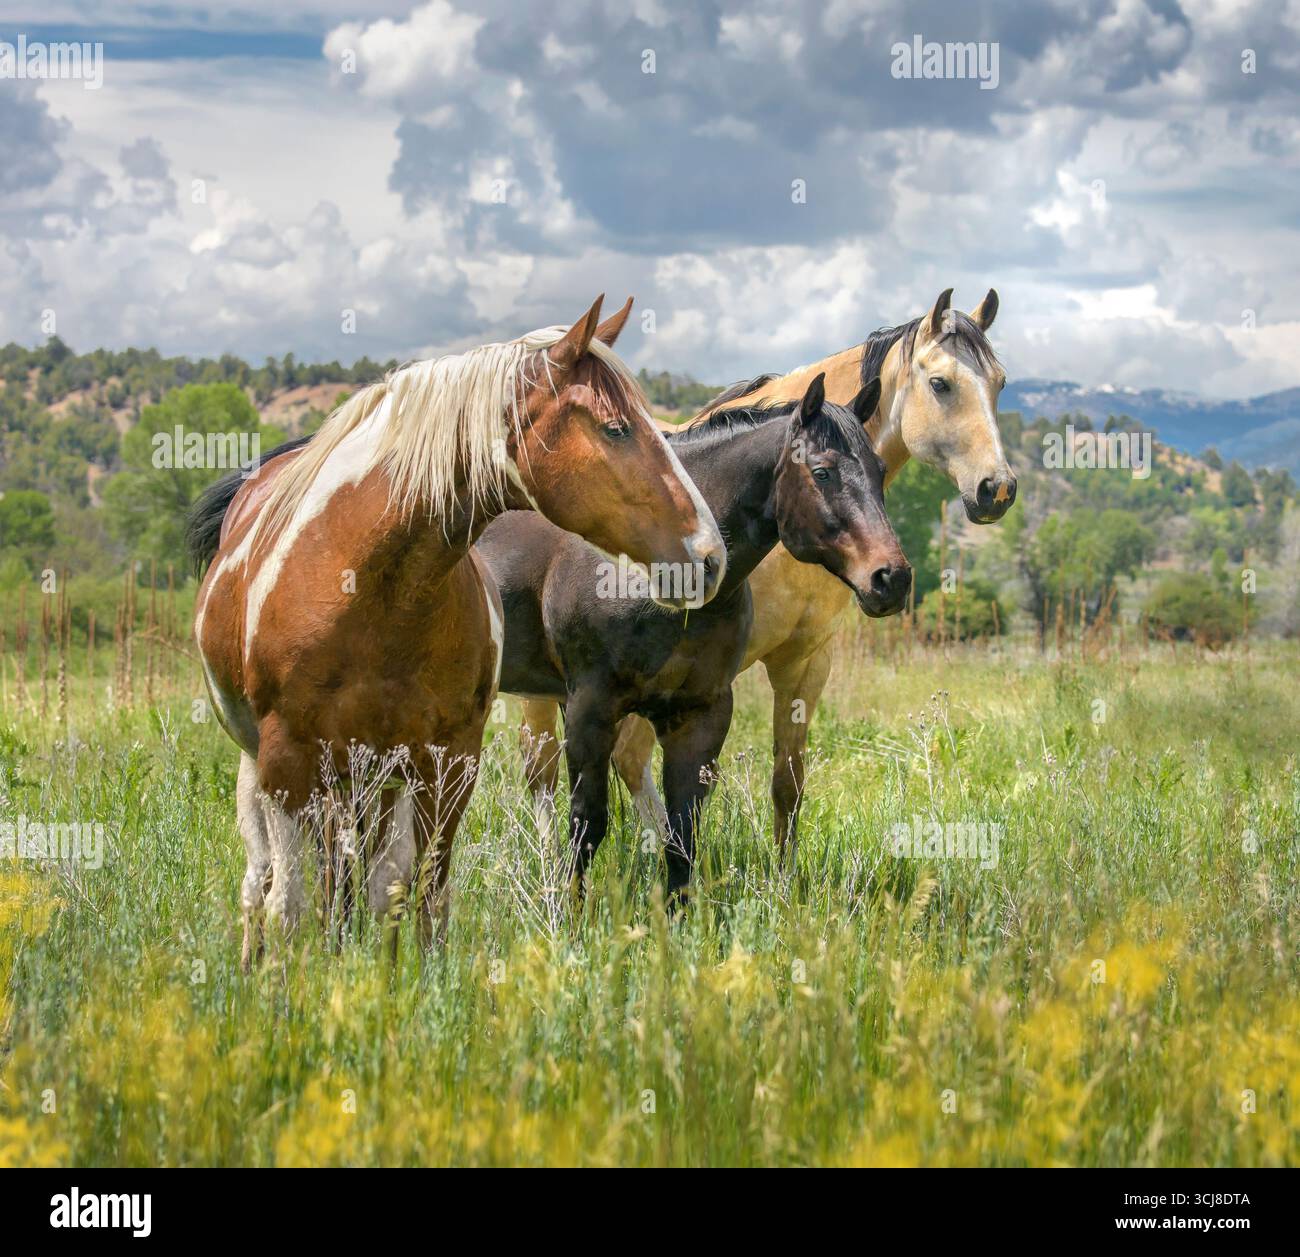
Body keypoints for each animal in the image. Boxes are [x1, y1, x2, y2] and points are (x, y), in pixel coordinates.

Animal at [186, 297, 727, 967]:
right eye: (616, 429)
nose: (709, 556)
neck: (367, 583)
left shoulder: (449, 761)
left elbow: (422, 891)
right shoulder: (287, 763)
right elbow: (289, 906)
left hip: (374, 778)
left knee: (359, 874)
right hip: (273, 772)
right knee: (265, 883)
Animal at [475, 371, 910, 902]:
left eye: (879, 469)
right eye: (823, 472)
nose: (891, 578)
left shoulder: (699, 715)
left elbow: (681, 834)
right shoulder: (590, 708)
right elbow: (587, 825)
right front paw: (571, 916)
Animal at [519, 287, 1015, 864]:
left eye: (1000, 382)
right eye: (940, 384)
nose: (997, 489)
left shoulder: (803, 663)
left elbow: (787, 783)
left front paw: (782, 877)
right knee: (545, 768)